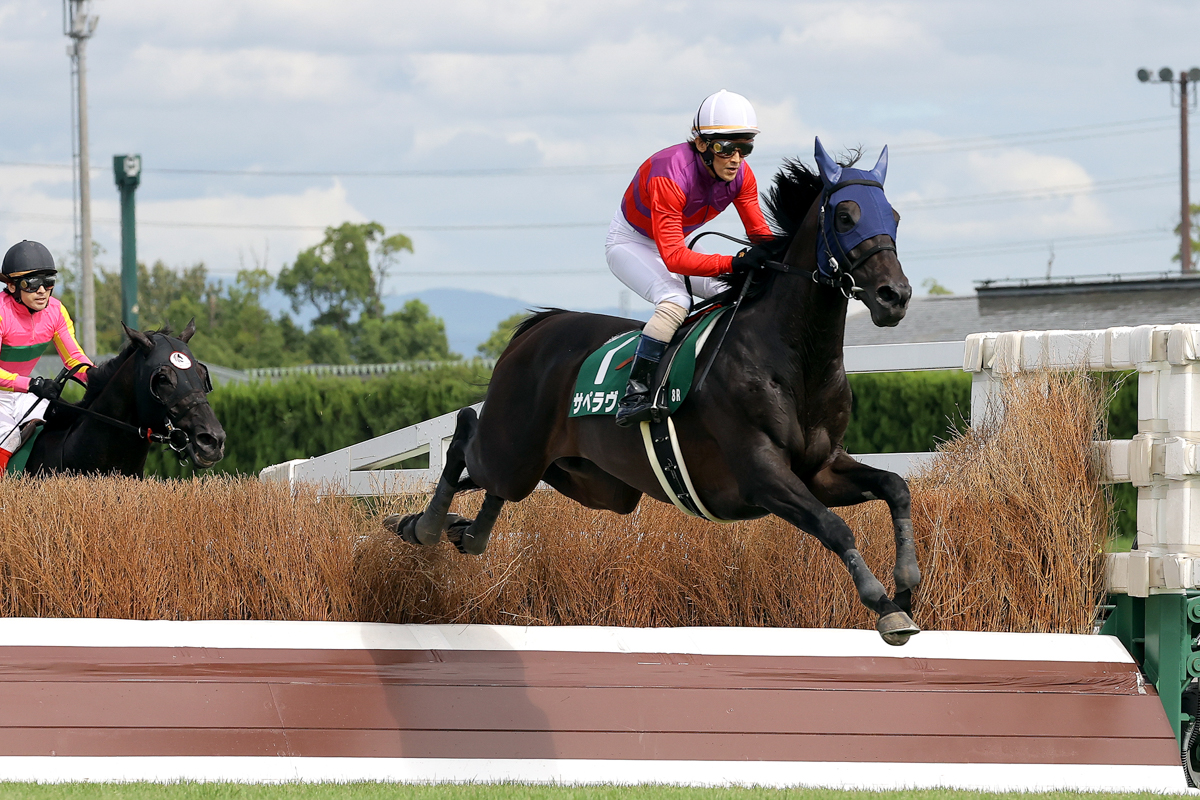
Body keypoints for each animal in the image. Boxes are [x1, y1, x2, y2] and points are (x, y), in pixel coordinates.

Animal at [388, 140, 921, 647]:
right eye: (846, 216)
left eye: (893, 216)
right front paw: (885, 606)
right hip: (514, 450)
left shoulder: (821, 468)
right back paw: (428, 525)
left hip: (595, 483)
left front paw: (907, 585)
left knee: (495, 487)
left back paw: (457, 531)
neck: (791, 359)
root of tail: (537, 328)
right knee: (465, 436)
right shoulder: (762, 475)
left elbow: (896, 486)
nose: (894, 296)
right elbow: (834, 526)